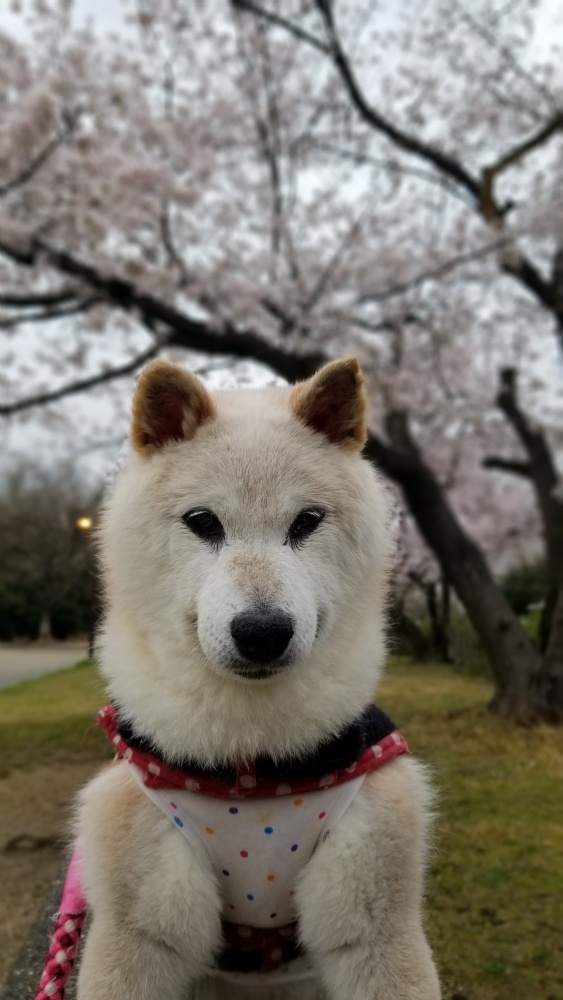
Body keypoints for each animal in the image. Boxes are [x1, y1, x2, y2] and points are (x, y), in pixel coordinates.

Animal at [70, 356, 440, 996]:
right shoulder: (138, 931)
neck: (253, 761)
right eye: (202, 522)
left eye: (307, 521)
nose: (263, 631)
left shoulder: (374, 920)